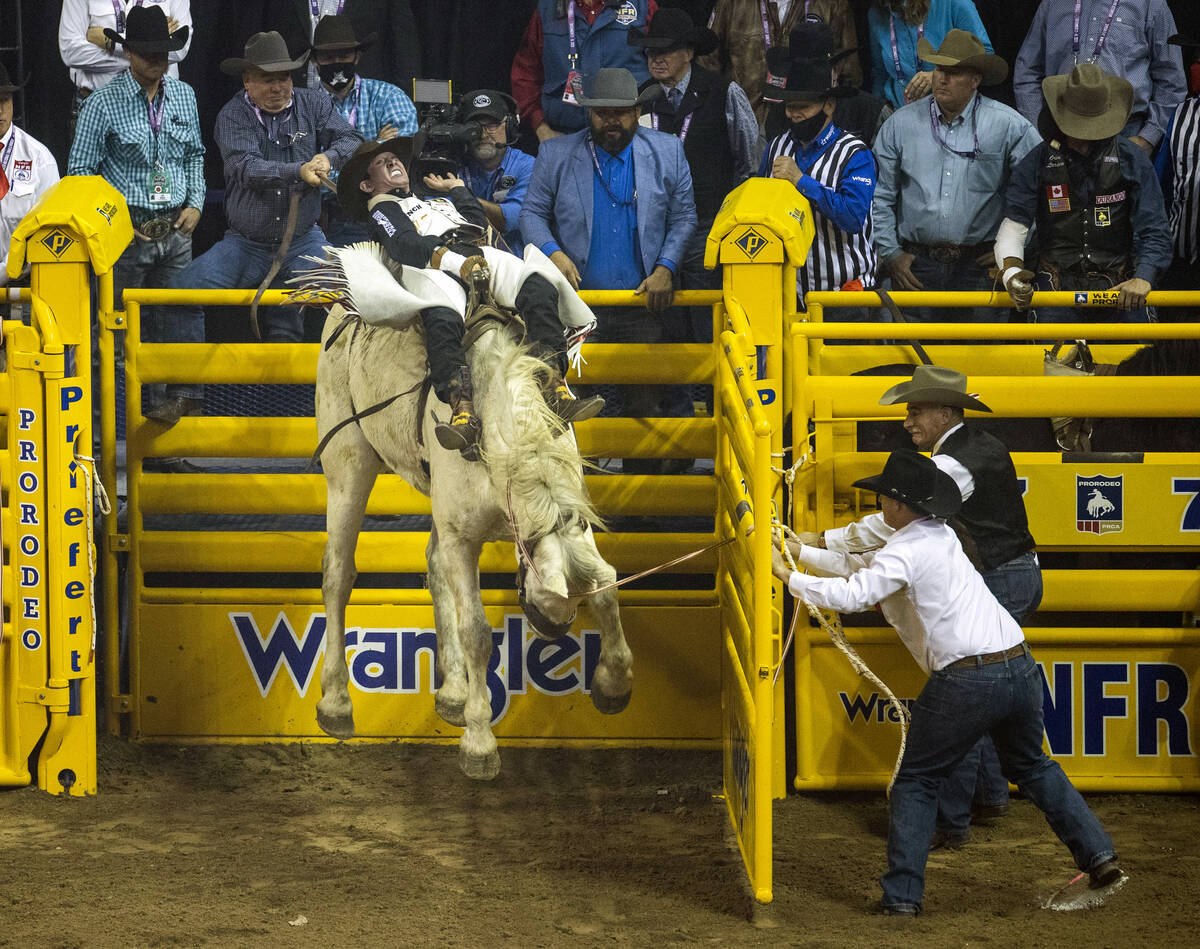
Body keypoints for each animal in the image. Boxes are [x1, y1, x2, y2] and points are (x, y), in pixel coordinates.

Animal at [304, 244, 633, 777]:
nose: (553, 628)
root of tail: (341, 301)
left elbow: (604, 585)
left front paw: (613, 684)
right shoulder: (463, 536)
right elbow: (476, 631)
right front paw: (480, 743)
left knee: (434, 568)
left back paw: (453, 693)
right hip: (348, 460)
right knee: (338, 571)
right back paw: (335, 704)